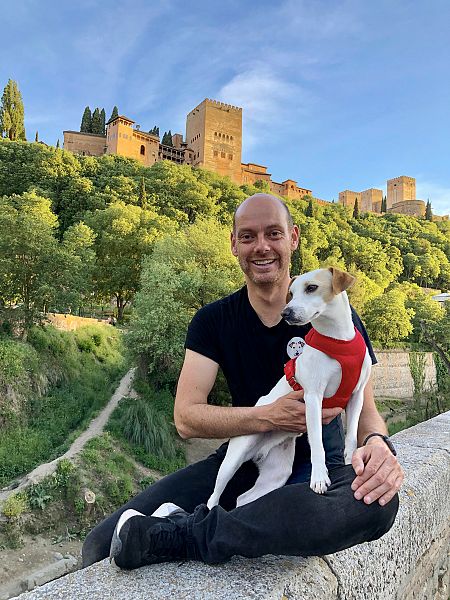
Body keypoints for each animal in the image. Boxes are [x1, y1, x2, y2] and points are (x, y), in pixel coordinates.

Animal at [206, 268, 370, 506]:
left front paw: (350, 459)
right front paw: (319, 477)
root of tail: (258, 452)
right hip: (233, 458)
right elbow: (317, 444)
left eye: (311, 288)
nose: (286, 313)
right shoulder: (313, 398)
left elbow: (352, 435)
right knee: (213, 496)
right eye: (290, 293)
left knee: (243, 498)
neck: (338, 340)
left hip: (276, 474)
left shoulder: (357, 395)